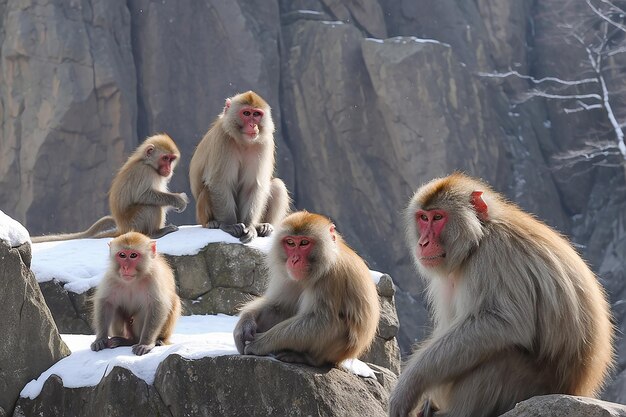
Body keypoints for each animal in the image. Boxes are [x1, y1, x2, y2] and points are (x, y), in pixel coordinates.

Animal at [31, 134, 186, 240]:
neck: (147, 163)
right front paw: (178, 200)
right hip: (134, 223)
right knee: (150, 206)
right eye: (165, 158)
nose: (168, 169)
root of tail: (122, 228)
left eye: (171, 159)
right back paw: (154, 233)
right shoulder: (145, 172)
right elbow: (143, 195)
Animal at [189, 89, 288, 242]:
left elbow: (253, 186)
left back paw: (263, 226)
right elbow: (219, 183)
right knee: (207, 189)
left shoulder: (264, 143)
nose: (253, 125)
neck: (243, 142)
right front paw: (229, 225)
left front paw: (251, 227)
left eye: (256, 114)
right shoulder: (222, 139)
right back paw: (213, 223)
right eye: (246, 113)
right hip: (201, 216)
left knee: (277, 185)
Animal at [233, 211, 378, 364]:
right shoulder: (288, 277)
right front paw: (245, 324)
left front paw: (261, 343)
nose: (294, 260)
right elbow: (279, 306)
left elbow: (323, 322)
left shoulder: (332, 277)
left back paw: (306, 358)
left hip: (338, 350)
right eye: (290, 243)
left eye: (304, 243)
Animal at [388, 171, 612, 416]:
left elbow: (503, 322)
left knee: (500, 353)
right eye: (423, 218)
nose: (423, 243)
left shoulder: (494, 255)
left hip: (527, 387)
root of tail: (577, 388)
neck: (478, 238)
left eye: (438, 217)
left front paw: (410, 385)